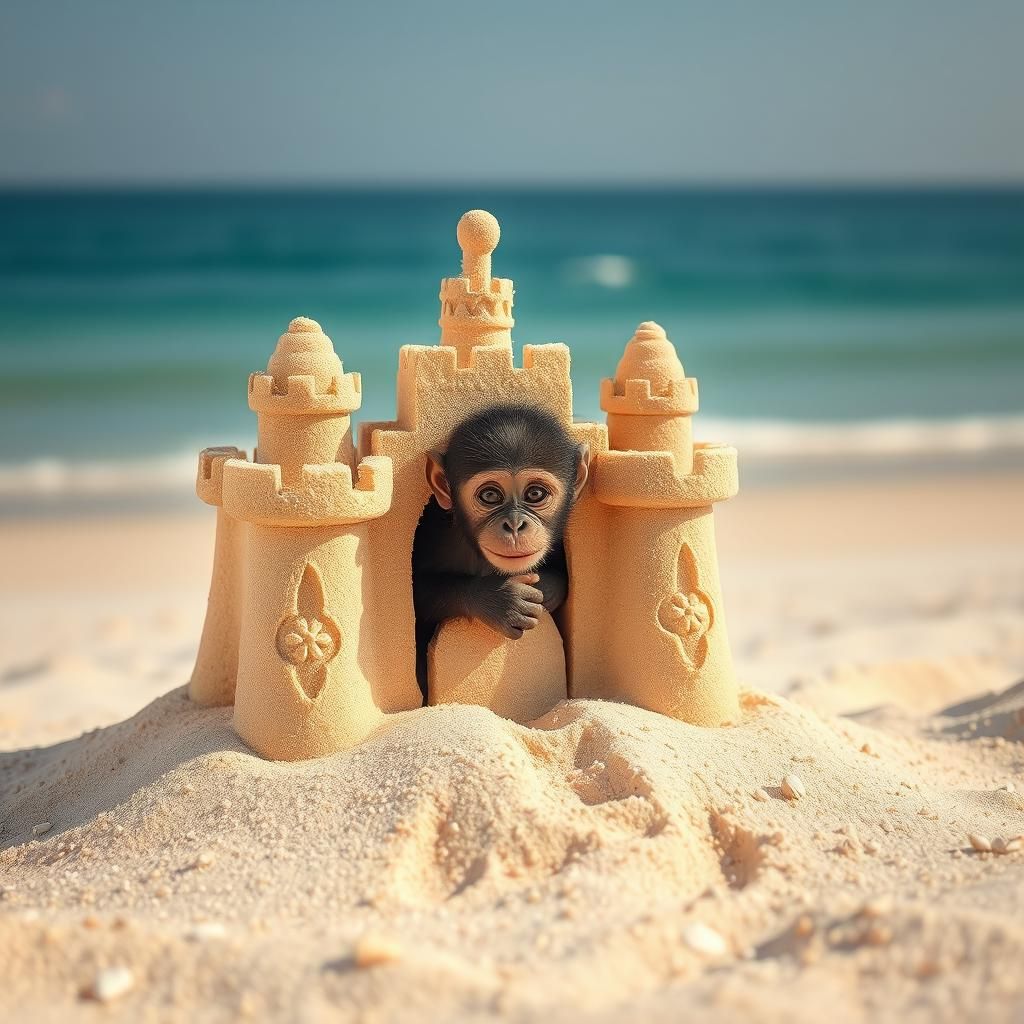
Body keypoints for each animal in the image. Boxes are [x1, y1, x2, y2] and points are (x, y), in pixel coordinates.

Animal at [412, 403, 590, 696]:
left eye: (535, 494)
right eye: (490, 496)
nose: (515, 524)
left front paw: (546, 586)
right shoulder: (436, 532)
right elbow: (414, 590)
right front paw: (498, 599)